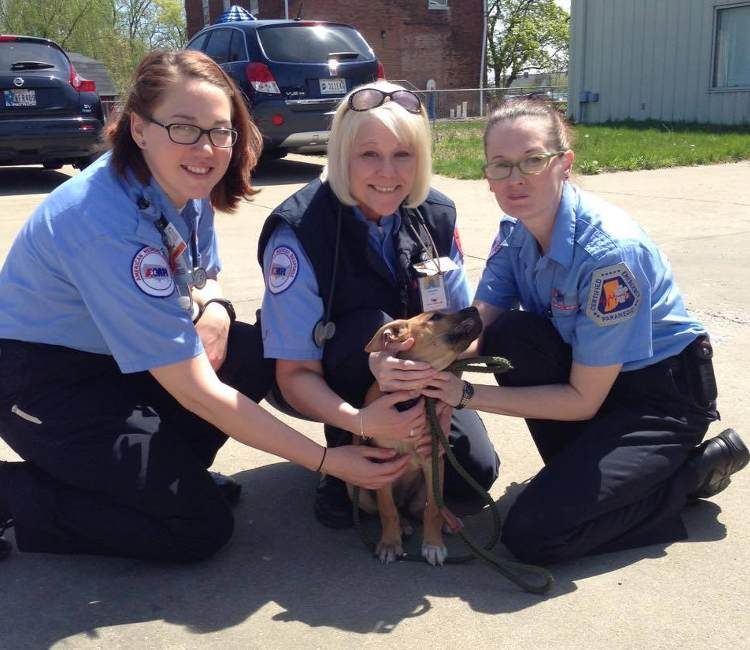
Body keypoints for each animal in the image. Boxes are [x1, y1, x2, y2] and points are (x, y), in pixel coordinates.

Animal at [356, 304, 484, 560]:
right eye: (436, 316)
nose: (475, 307)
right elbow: (387, 509)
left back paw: (448, 520)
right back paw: (403, 526)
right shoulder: (381, 466)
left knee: (425, 507)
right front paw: (389, 544)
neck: (415, 398)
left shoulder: (432, 460)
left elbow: (432, 508)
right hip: (362, 493)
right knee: (395, 509)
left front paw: (433, 545)